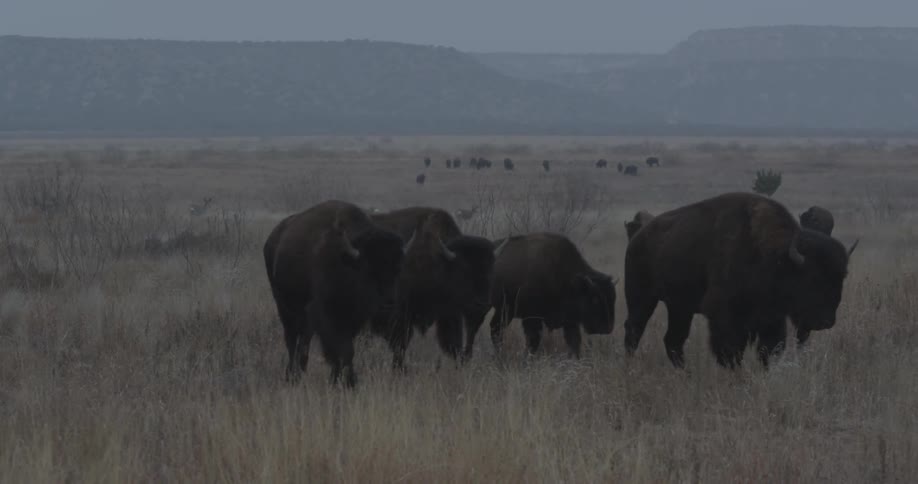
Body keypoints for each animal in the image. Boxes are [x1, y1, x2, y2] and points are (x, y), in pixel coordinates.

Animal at [263, 200, 409, 387]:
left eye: (397, 270)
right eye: (368, 272)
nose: (388, 303)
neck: (348, 262)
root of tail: (272, 239)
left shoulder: (352, 320)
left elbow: (343, 351)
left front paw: (338, 379)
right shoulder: (328, 317)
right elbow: (343, 350)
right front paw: (348, 382)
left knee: (303, 342)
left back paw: (301, 369)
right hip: (284, 307)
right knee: (292, 340)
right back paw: (292, 375)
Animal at [370, 207, 507, 365]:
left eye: (491, 270)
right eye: (463, 270)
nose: (482, 304)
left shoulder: (449, 315)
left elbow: (454, 344)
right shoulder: (401, 317)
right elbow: (400, 346)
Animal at [487, 233, 617, 358]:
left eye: (613, 298)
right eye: (595, 299)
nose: (607, 328)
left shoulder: (570, 320)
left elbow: (574, 341)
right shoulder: (532, 317)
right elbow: (533, 340)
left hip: (505, 311)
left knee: (495, 328)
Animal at [623, 192, 857, 369]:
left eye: (841, 277)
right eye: (812, 278)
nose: (826, 321)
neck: (776, 256)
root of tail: (637, 239)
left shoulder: (771, 317)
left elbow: (769, 349)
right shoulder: (725, 315)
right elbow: (731, 351)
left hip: (680, 307)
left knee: (673, 340)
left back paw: (685, 373)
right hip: (641, 298)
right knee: (634, 330)